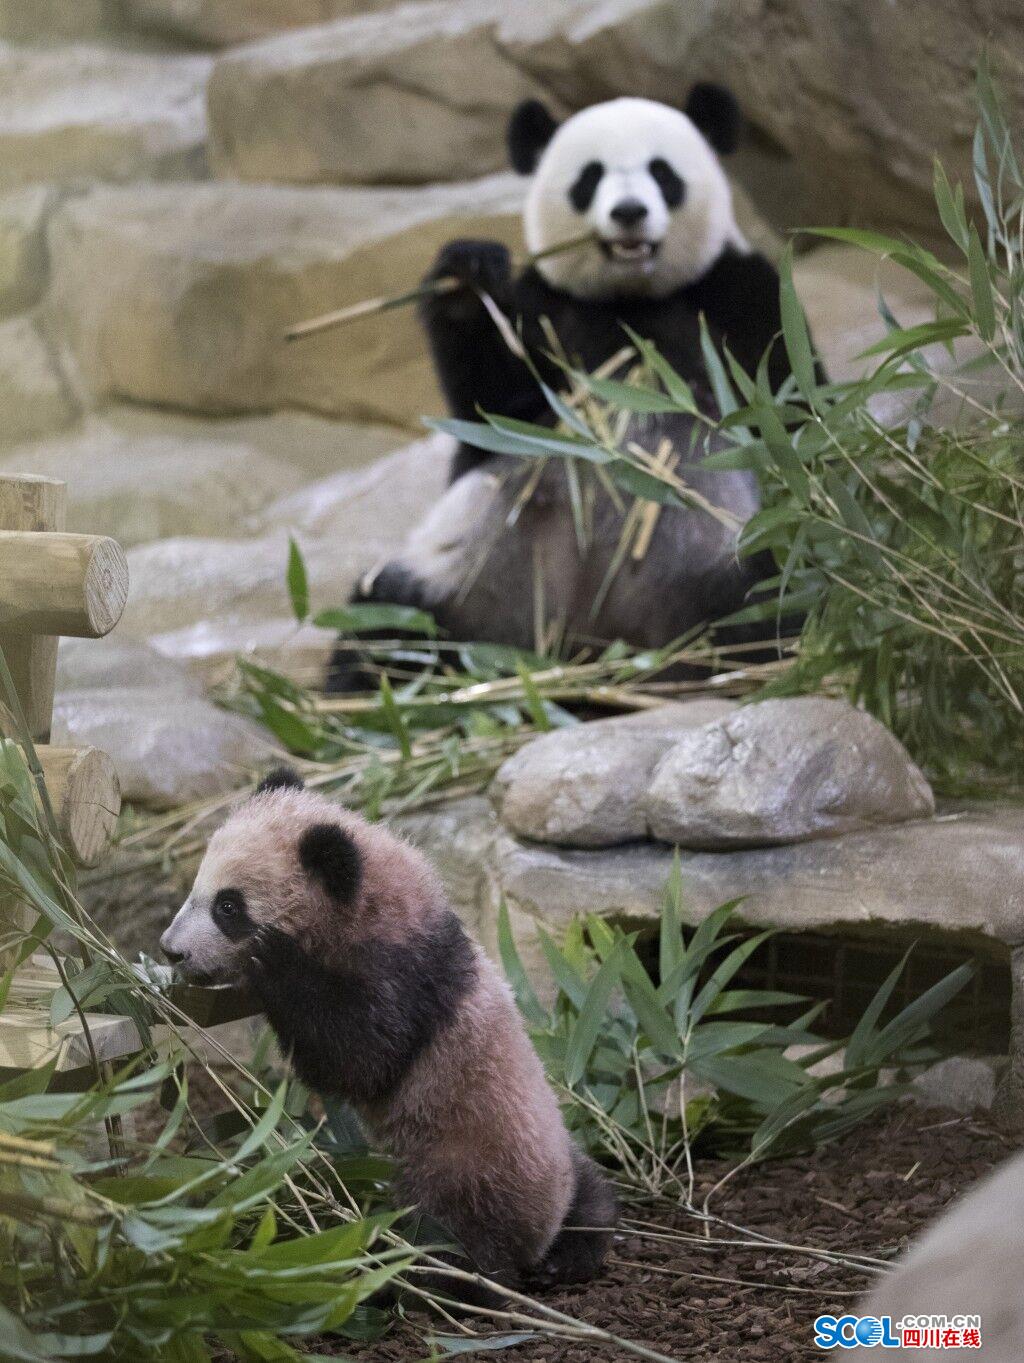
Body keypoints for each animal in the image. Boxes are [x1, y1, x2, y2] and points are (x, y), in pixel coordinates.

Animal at [324, 82, 812, 681]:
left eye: (662, 172)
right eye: (590, 178)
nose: (629, 213)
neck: (629, 298)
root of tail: (590, 647)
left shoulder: (742, 293)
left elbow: (789, 402)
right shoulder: (546, 308)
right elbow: (490, 406)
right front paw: (467, 276)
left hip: (721, 559)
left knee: (775, 594)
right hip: (462, 587)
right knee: (387, 624)